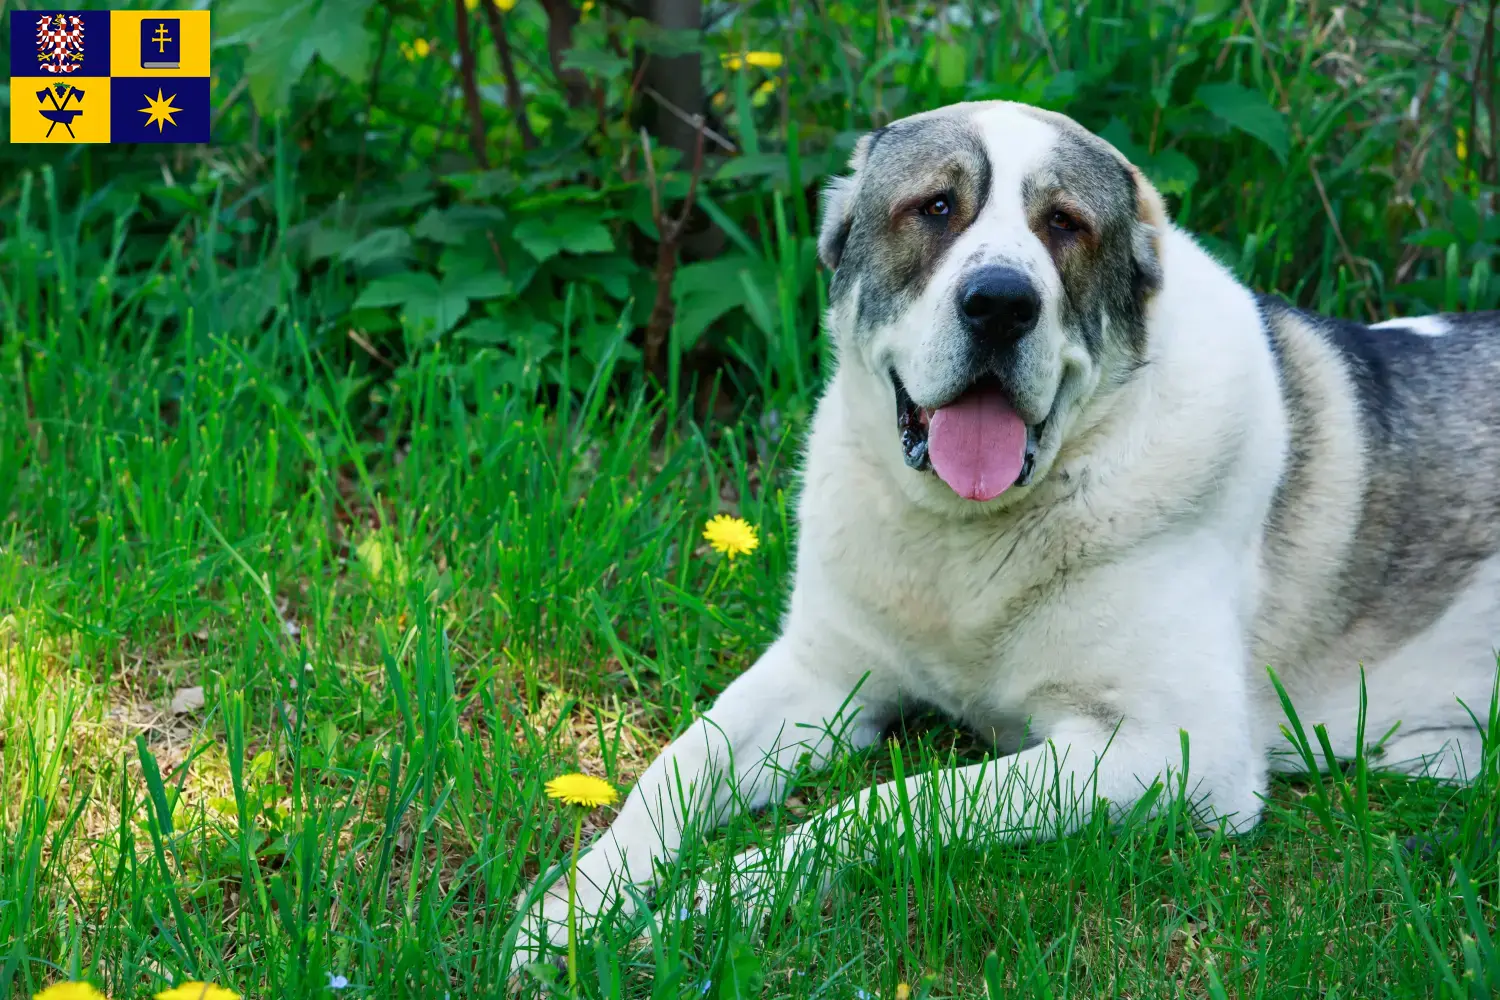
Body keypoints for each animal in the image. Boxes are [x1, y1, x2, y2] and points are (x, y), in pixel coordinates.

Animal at [510, 97, 1494, 965]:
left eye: (1064, 224)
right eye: (936, 208)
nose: (1000, 302)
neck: (963, 538)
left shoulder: (1172, 749)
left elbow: (886, 805)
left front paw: (715, 903)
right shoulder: (820, 672)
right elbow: (678, 767)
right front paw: (575, 911)